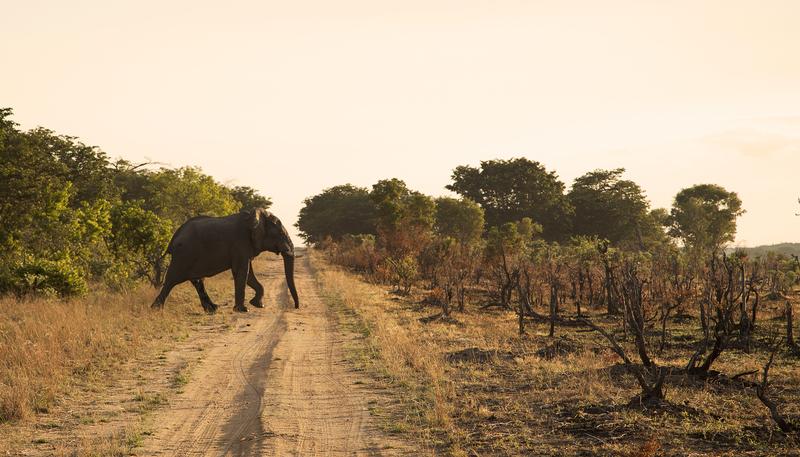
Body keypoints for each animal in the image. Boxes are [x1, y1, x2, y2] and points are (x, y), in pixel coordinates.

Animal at [151, 208, 300, 312]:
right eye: (280, 234)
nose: (296, 307)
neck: (254, 217)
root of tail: (174, 237)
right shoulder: (240, 242)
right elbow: (242, 272)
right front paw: (243, 310)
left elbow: (248, 274)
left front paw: (257, 305)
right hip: (184, 254)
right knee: (171, 280)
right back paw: (156, 309)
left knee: (197, 281)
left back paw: (212, 309)